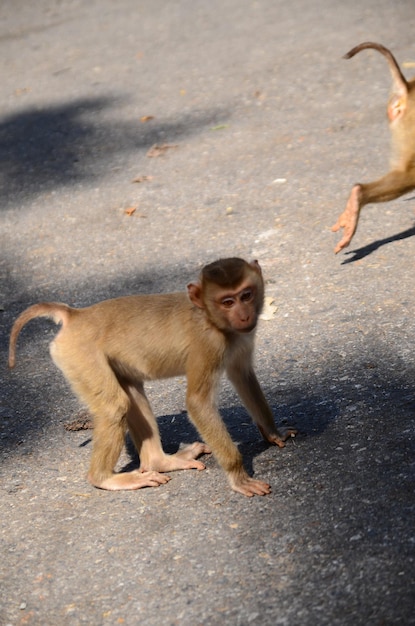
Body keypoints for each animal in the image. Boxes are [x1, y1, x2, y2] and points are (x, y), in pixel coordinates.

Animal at [8, 256, 298, 494]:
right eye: (227, 302)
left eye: (246, 295)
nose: (244, 315)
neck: (211, 319)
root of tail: (76, 315)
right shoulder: (208, 345)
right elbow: (198, 403)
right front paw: (239, 477)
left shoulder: (242, 339)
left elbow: (243, 376)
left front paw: (274, 433)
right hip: (80, 357)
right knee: (115, 406)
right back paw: (104, 479)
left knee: (131, 395)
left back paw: (160, 462)